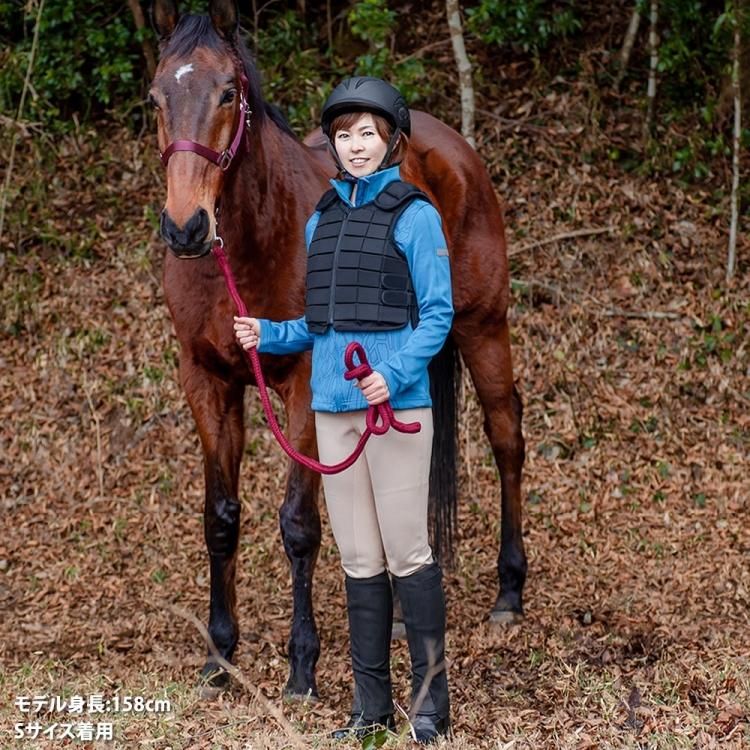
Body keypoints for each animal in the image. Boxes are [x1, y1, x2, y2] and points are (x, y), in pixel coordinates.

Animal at [150, 0, 528, 700]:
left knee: (506, 437)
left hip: (483, 327)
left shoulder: (304, 383)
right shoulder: (206, 382)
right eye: (156, 97)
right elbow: (220, 518)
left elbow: (299, 524)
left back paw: (509, 595)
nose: (186, 228)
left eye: (228, 92)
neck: (251, 241)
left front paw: (302, 666)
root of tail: (452, 146)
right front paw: (219, 656)